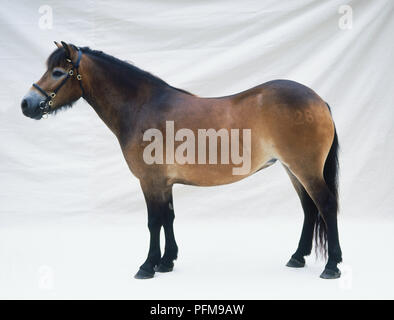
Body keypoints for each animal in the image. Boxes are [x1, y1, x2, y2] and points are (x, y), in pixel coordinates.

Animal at [21, 41, 342, 278]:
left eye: (58, 72)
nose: (26, 104)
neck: (142, 107)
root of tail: (319, 100)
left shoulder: (150, 181)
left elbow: (153, 221)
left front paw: (147, 266)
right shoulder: (164, 183)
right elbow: (168, 218)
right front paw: (167, 262)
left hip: (305, 169)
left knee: (326, 205)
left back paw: (331, 266)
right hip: (292, 169)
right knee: (309, 209)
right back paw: (297, 258)